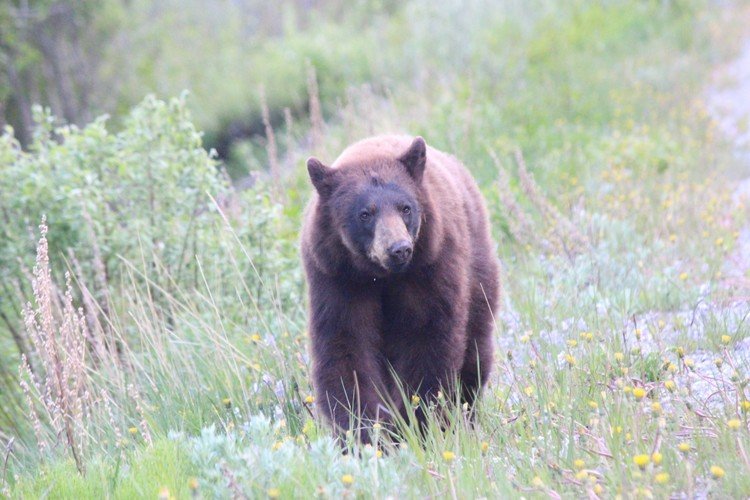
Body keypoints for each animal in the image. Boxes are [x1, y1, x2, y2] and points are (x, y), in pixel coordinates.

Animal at [300, 134, 500, 442]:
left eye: (405, 207)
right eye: (365, 214)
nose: (399, 249)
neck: (380, 278)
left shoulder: (430, 267)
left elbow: (427, 336)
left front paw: (416, 423)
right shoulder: (337, 278)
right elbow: (346, 345)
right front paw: (362, 430)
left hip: (477, 273)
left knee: (475, 350)